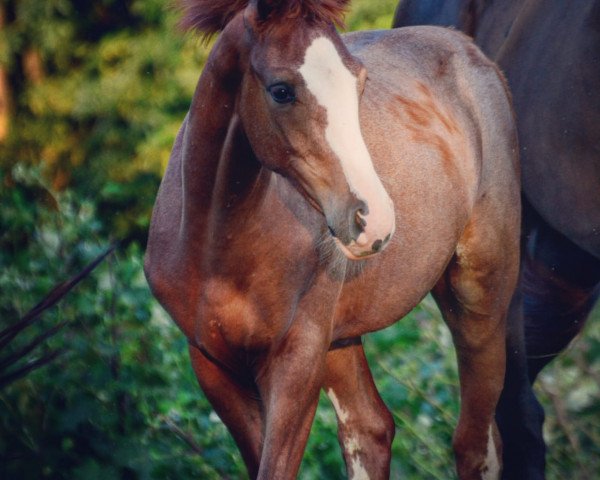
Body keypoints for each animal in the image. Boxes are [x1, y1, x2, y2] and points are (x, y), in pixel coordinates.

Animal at [145, 1, 520, 478]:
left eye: (359, 82)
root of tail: (473, 53)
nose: (373, 220)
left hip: (480, 302)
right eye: (281, 90)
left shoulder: (296, 361)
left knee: (474, 445)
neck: (216, 249)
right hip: (340, 340)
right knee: (370, 429)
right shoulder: (212, 365)